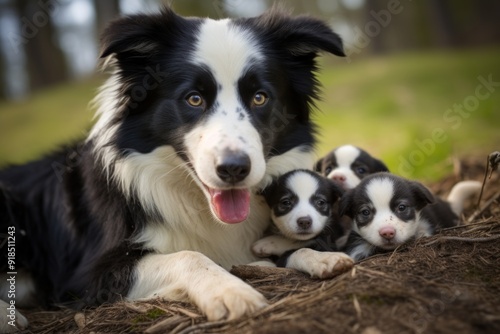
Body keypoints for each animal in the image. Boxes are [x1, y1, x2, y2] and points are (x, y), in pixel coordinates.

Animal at [0, 6, 346, 330]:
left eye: (260, 98)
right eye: (194, 99)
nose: (234, 169)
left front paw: (322, 257)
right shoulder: (90, 274)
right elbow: (188, 256)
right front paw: (231, 291)